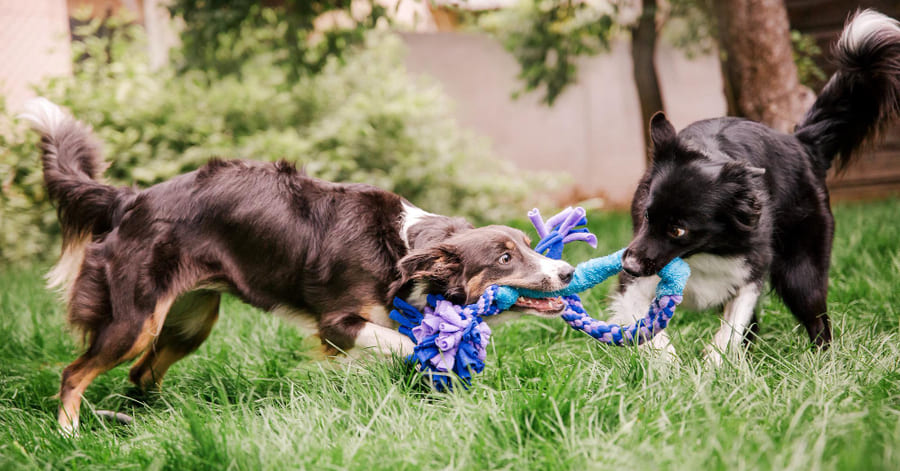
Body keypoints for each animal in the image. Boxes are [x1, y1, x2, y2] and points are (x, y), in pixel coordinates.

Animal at [22, 99, 576, 436]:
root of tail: (128, 200)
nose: (568, 273)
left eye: (527, 245)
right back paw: (70, 435)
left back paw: (161, 421)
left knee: (141, 372)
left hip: (190, 320)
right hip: (135, 320)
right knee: (74, 373)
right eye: (505, 258)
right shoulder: (337, 323)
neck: (403, 250)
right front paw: (430, 364)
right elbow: (402, 344)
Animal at [612, 10, 900, 366]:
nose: (628, 265)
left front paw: (712, 364)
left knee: (816, 316)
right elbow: (648, 327)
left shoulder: (749, 271)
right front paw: (670, 363)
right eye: (647, 216)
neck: (703, 251)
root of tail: (800, 143)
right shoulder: (634, 283)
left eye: (679, 230)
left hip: (800, 269)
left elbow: (732, 327)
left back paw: (823, 362)